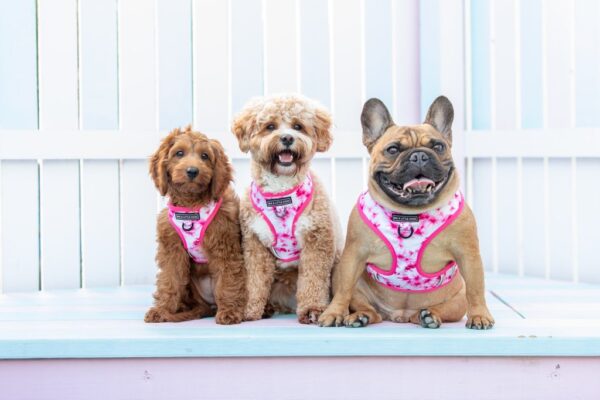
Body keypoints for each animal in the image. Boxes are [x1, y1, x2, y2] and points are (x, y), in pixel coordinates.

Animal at [144, 126, 245, 324]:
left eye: (205, 156)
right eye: (179, 153)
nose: (192, 171)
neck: (191, 205)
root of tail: (208, 306)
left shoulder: (224, 245)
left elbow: (227, 280)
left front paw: (229, 311)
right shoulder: (172, 250)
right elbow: (170, 280)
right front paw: (162, 310)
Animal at [230, 95, 342, 324]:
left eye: (298, 126)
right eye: (270, 126)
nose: (287, 138)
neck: (280, 193)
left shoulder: (318, 240)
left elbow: (313, 279)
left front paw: (312, 310)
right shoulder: (255, 244)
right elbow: (254, 280)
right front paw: (248, 309)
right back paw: (267, 308)